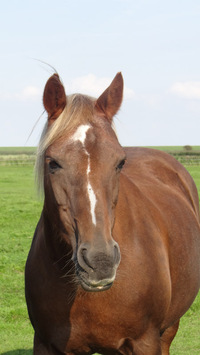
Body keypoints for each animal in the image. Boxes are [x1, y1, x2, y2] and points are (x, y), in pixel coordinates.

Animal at [25, 71, 200, 354]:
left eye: (120, 162)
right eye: (53, 163)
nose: (100, 262)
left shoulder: (145, 342)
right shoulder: (45, 344)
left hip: (168, 328)